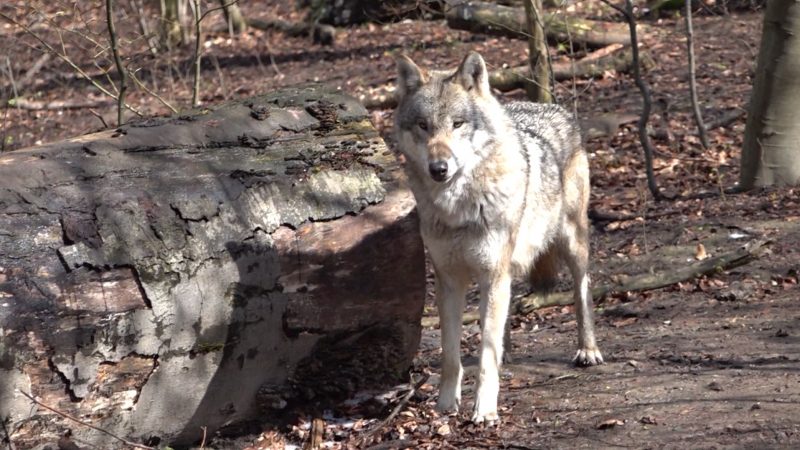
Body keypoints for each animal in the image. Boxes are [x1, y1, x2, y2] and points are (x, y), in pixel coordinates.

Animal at [390, 51, 604, 424]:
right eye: (423, 126)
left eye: (458, 124)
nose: (439, 168)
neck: (459, 209)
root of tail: (552, 107)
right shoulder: (449, 280)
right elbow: (451, 354)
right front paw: (446, 406)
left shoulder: (492, 274)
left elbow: (486, 356)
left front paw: (485, 410)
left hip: (571, 242)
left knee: (582, 291)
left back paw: (587, 348)